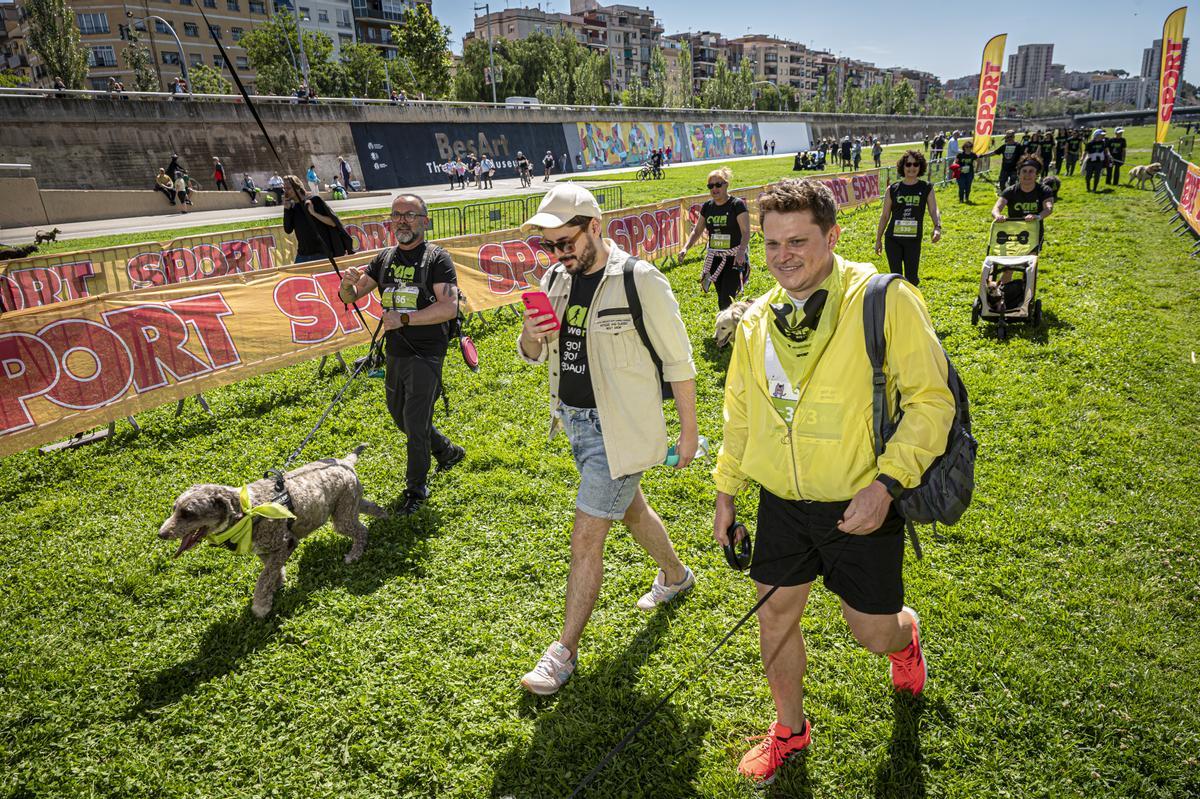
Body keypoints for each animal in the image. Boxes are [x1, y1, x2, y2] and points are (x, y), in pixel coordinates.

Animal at [157, 441, 386, 614]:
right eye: (174, 509)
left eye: (188, 513)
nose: (161, 534)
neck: (247, 511)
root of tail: (345, 462)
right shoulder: (264, 550)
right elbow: (271, 570)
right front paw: (277, 583)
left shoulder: (286, 543)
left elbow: (263, 577)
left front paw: (261, 605)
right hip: (348, 505)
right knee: (372, 508)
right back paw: (386, 516)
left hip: (342, 518)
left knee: (362, 530)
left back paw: (355, 554)